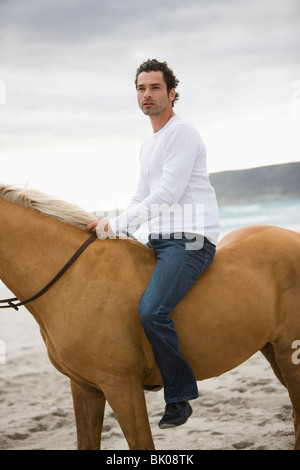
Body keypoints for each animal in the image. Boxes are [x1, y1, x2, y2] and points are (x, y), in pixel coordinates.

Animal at [0, 182, 300, 450]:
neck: (73, 278)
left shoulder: (121, 386)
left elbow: (141, 443)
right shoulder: (84, 387)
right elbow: (87, 442)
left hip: (290, 352)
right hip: (271, 349)